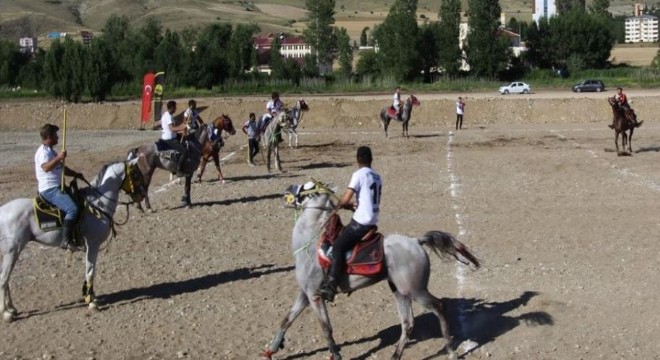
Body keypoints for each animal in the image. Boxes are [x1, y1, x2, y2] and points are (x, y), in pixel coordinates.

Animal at [0, 159, 146, 322]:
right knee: (3, 279)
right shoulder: (93, 244)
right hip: (12, 250)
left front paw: (91, 297)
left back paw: (12, 308)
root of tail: (2, 211)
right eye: (135, 174)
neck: (97, 205)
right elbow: (90, 272)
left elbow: (90, 271)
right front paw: (91, 302)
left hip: (14, 251)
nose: (142, 195)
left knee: (7, 279)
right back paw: (6, 313)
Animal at [260, 183, 482, 360]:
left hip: (415, 291)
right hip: (399, 291)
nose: (288, 188)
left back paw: (451, 351)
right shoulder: (305, 294)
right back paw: (395, 355)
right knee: (407, 323)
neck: (310, 244)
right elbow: (287, 320)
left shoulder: (315, 296)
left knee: (439, 307)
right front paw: (271, 349)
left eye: (308, 188)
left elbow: (326, 329)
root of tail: (416, 242)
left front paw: (336, 355)